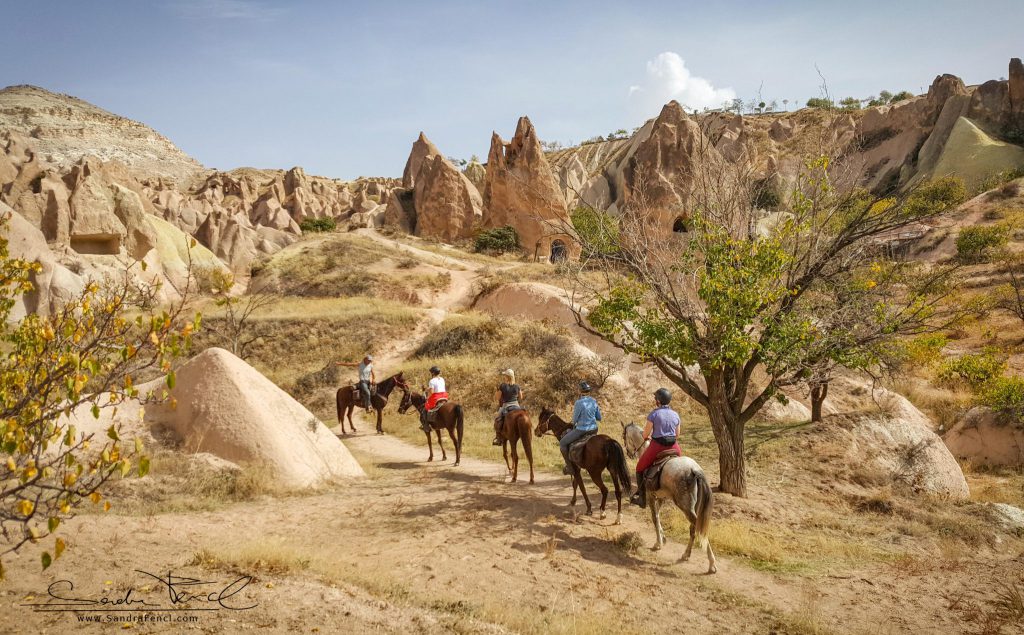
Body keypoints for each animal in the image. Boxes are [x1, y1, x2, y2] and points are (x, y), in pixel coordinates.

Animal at [618, 421, 716, 573]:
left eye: (624, 436)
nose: (629, 453)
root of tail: (694, 469)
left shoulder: (651, 496)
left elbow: (654, 517)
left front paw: (658, 543)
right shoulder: (661, 497)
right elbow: (658, 516)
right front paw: (662, 537)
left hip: (685, 507)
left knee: (697, 527)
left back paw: (711, 562)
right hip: (693, 507)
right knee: (693, 529)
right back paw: (686, 554)